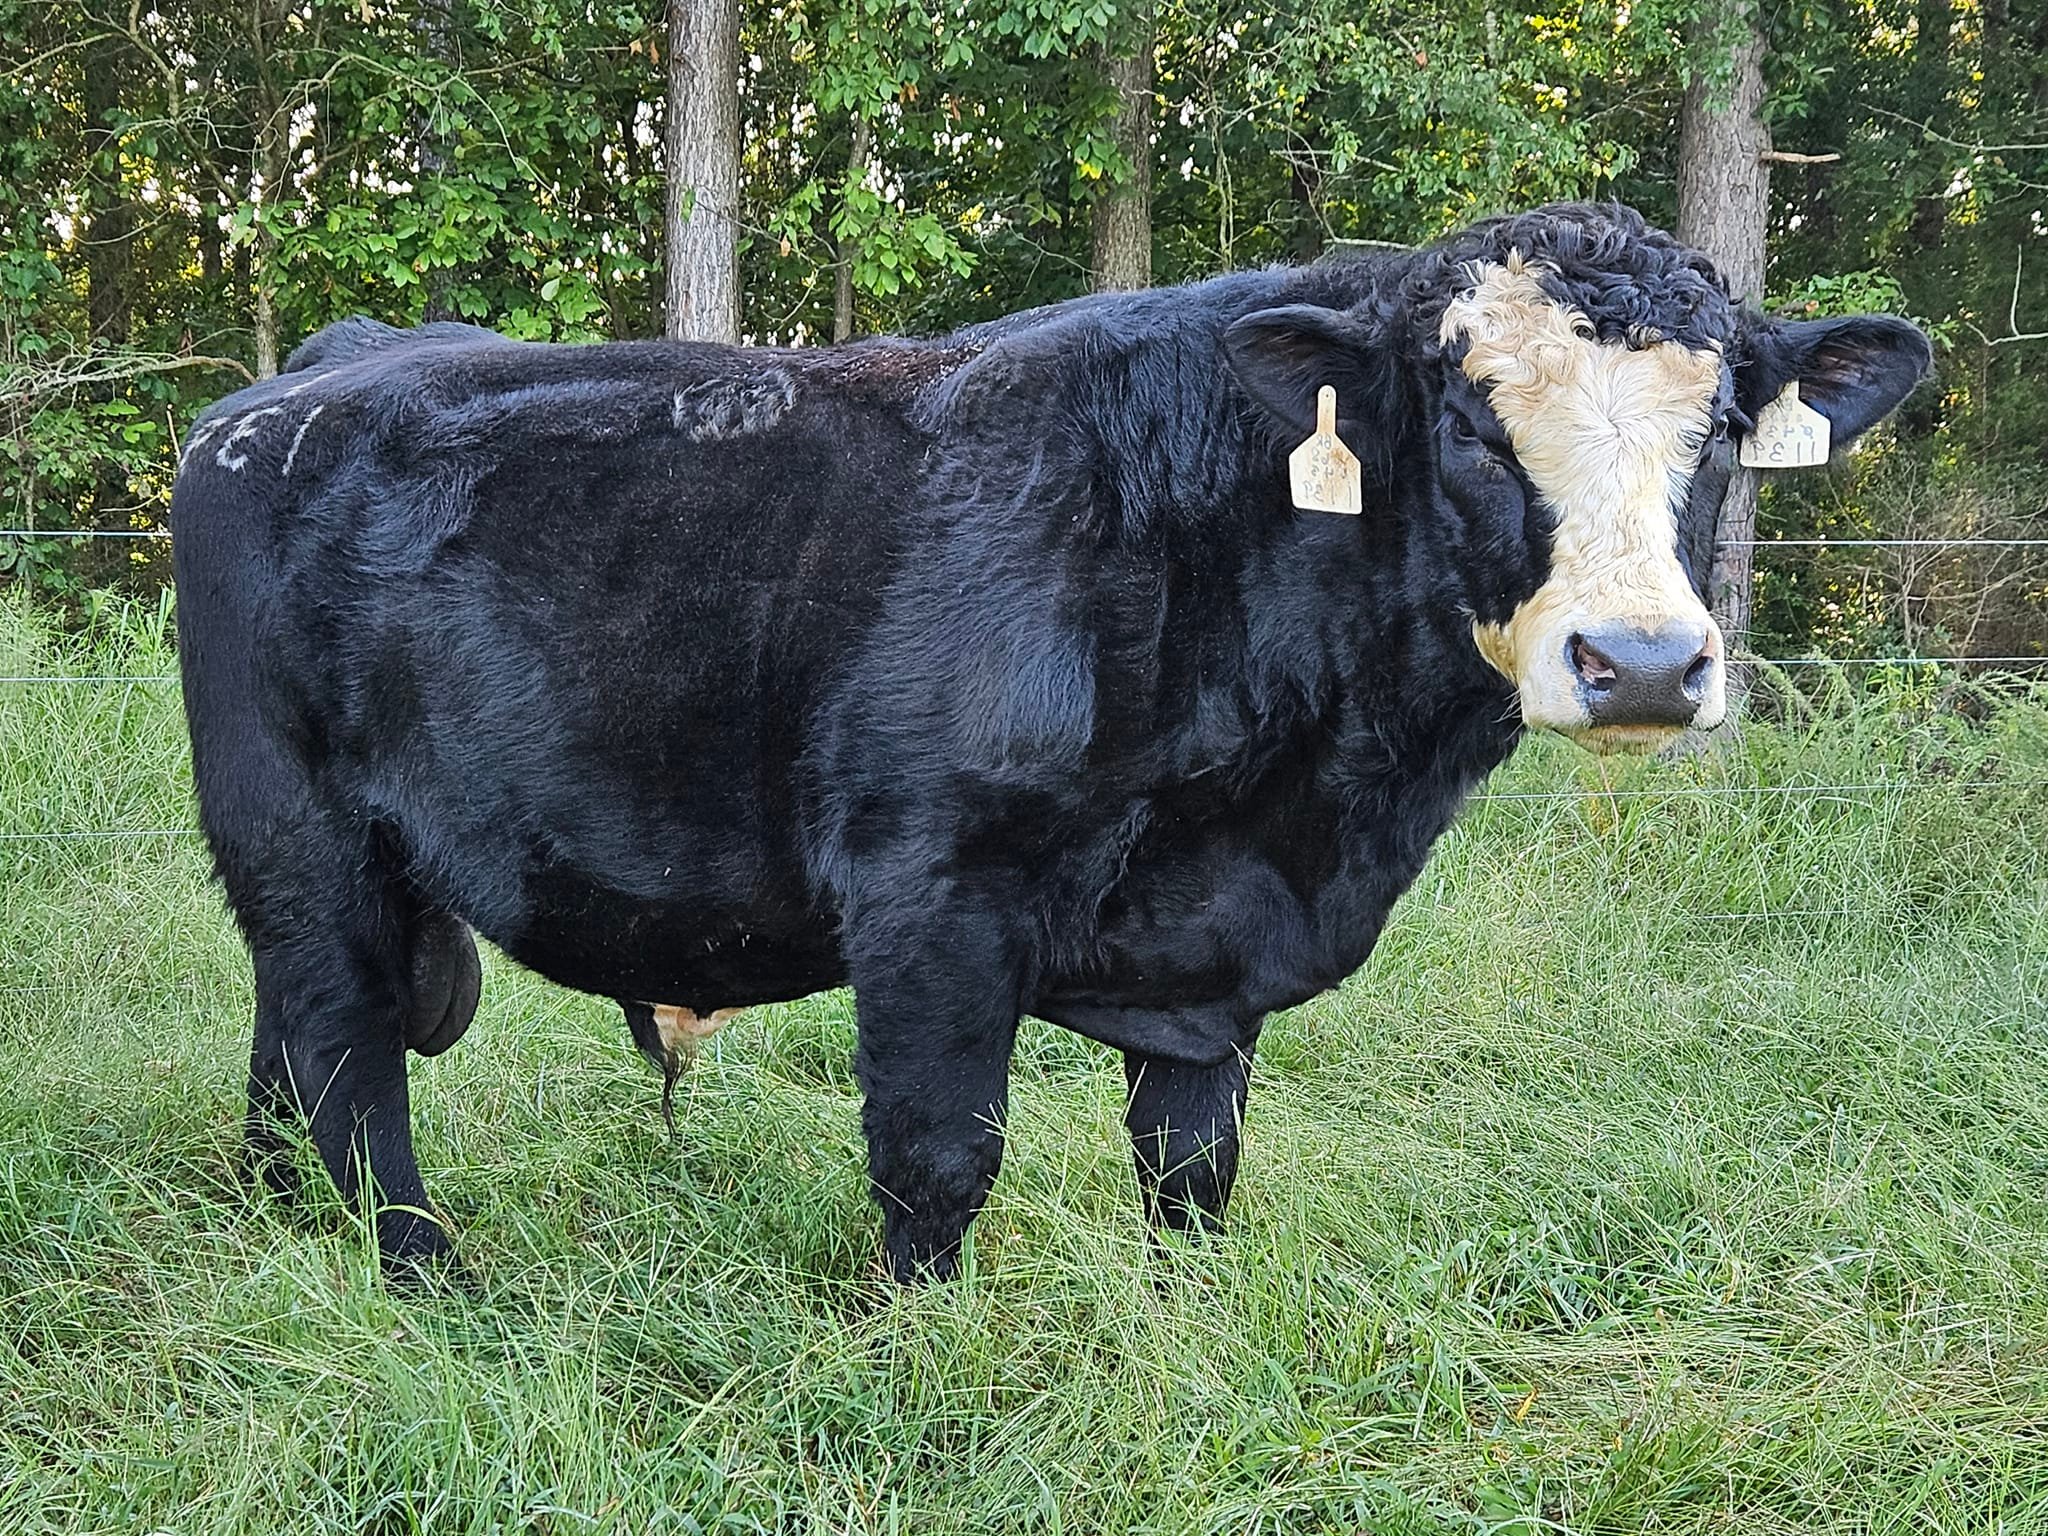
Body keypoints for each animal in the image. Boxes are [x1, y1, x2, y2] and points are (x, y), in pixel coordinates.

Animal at [169, 203, 1930, 1280]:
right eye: (1473, 423)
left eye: (1723, 427)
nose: (1643, 665)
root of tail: (331, 365)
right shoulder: (935, 893)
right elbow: (940, 1156)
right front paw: (913, 1356)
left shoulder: (1213, 956)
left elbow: (1194, 1172)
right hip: (297, 830)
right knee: (347, 1061)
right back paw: (420, 1272)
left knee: (294, 1044)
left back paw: (278, 1229)